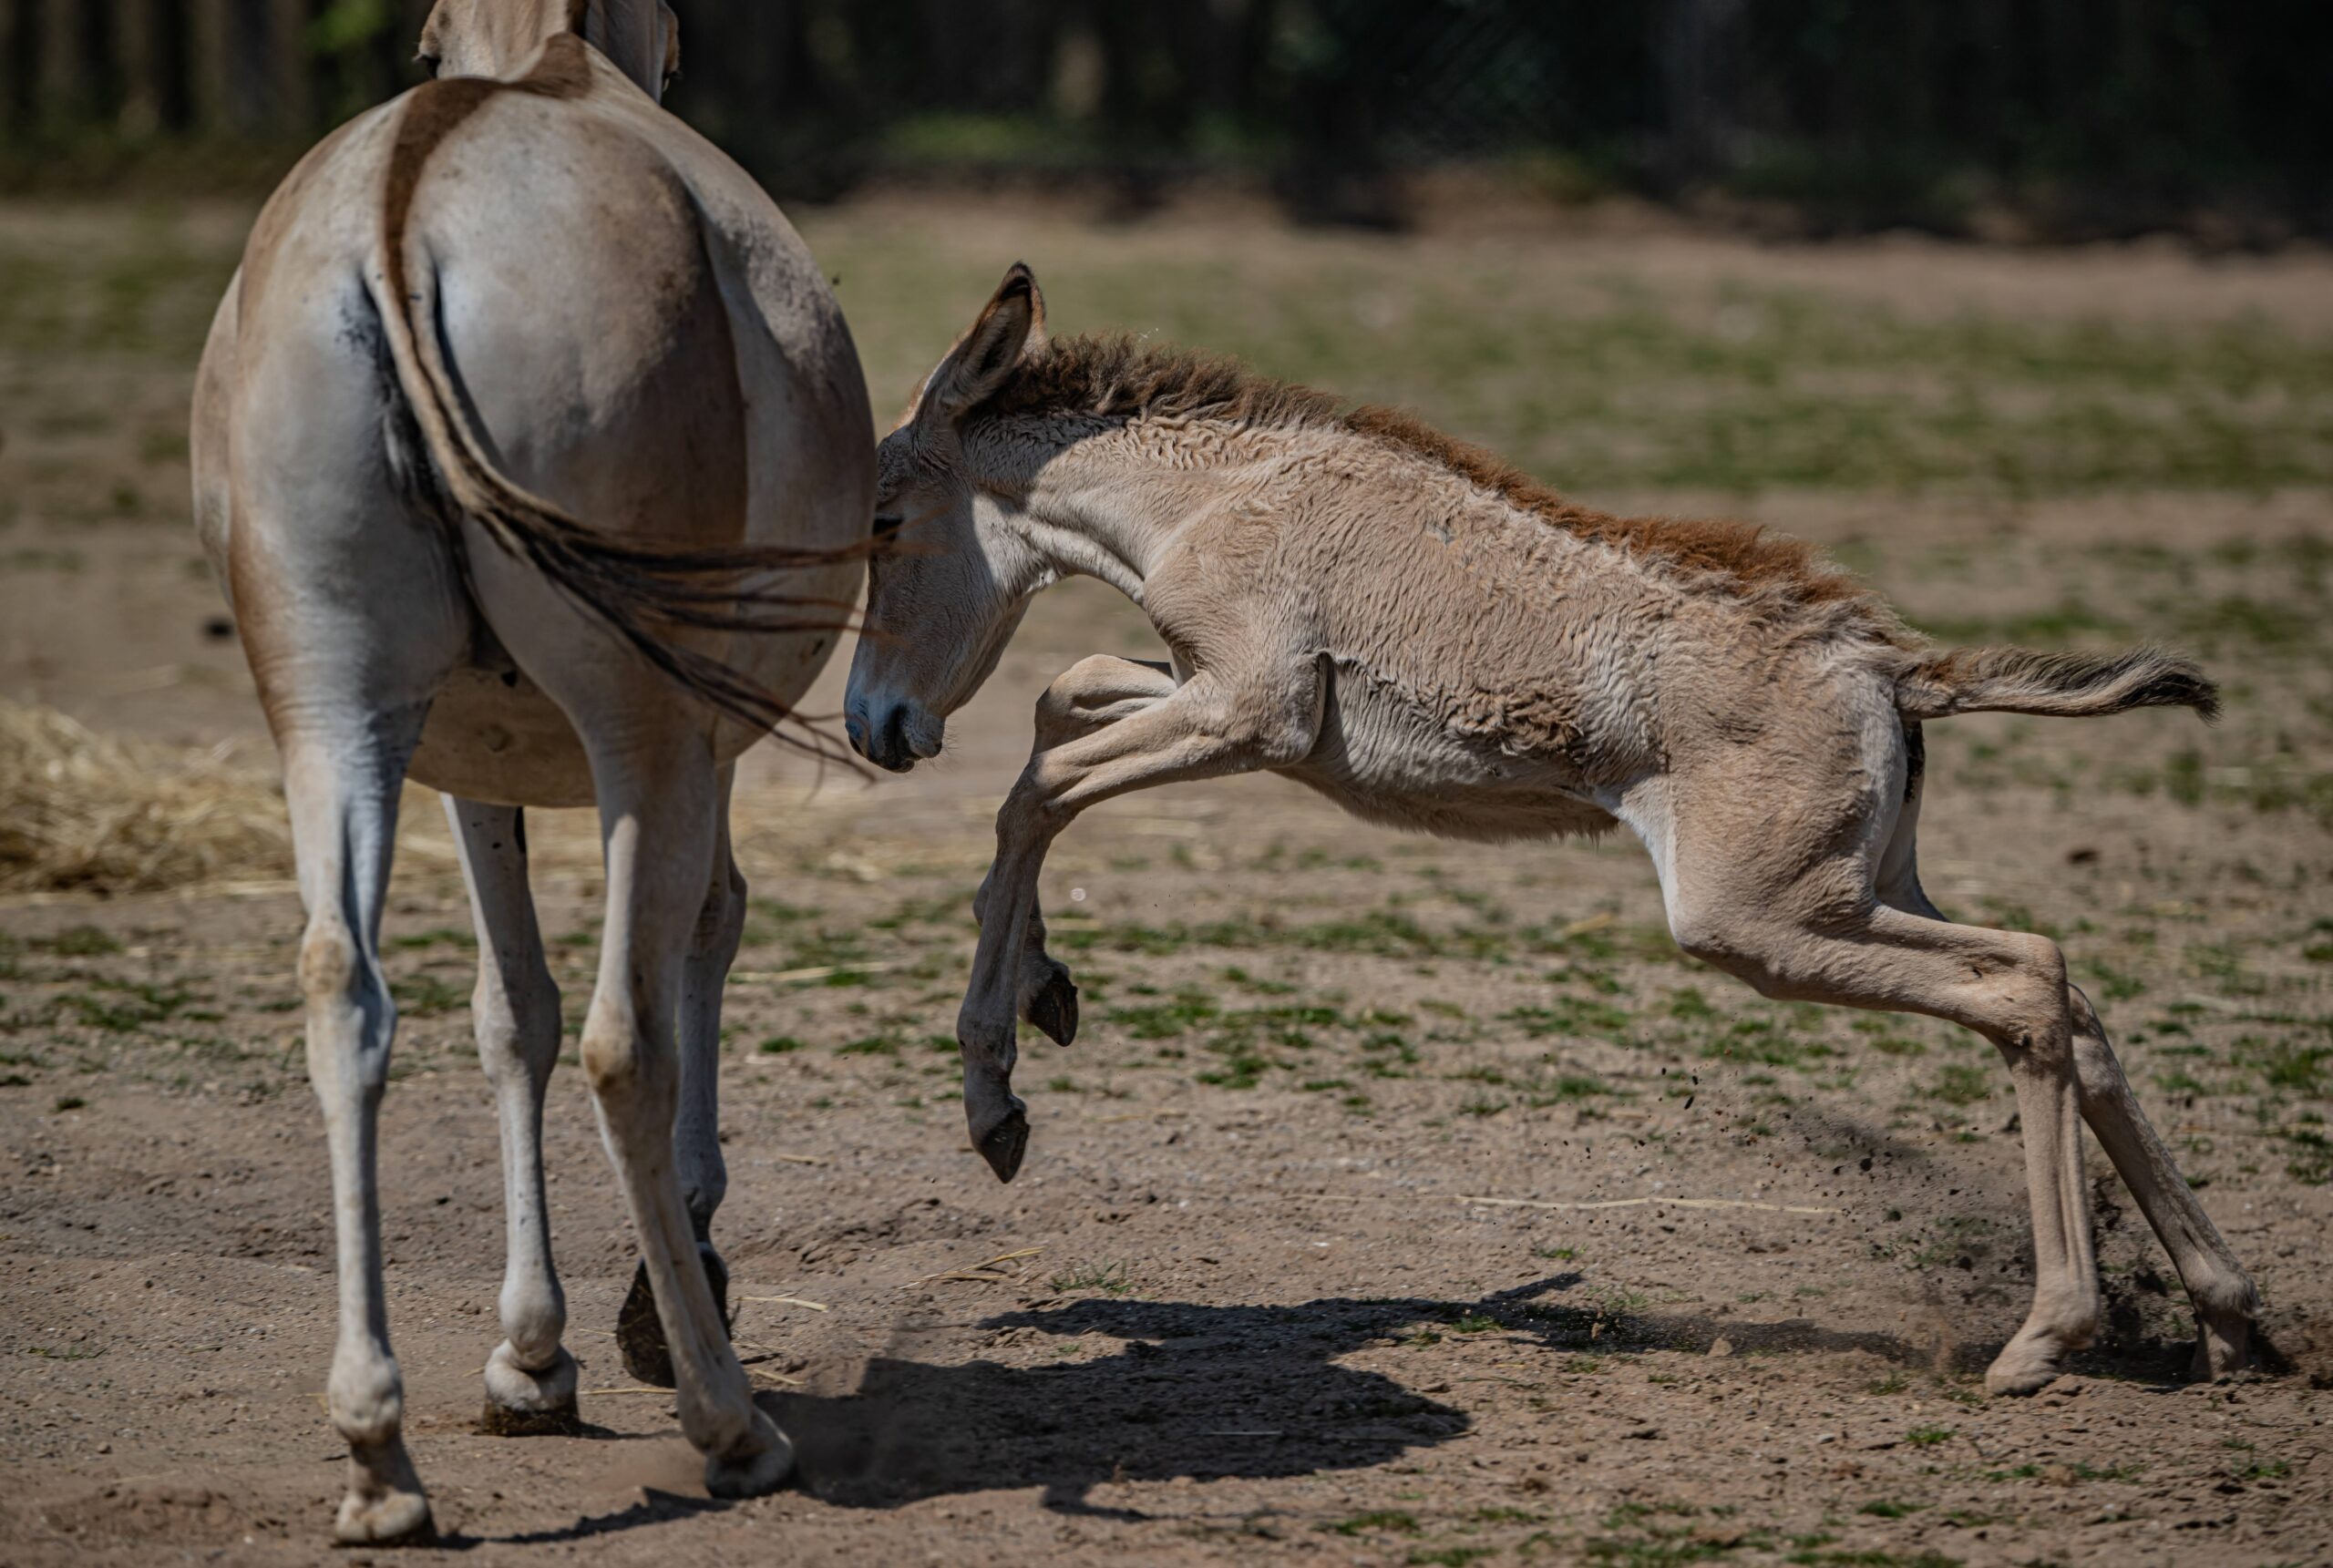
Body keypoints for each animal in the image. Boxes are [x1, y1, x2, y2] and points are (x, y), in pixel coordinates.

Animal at [193, 0, 877, 1540]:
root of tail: (401, 220)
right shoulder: (696, 749)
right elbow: (699, 944)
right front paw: (655, 1307)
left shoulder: (470, 771)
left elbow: (511, 1014)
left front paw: (530, 1356)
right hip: (640, 737)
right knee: (632, 1036)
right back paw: (729, 1423)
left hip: (338, 716)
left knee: (347, 994)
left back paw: (379, 1455)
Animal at [853, 265, 2258, 1399]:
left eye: (881, 521)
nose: (876, 725)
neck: (1223, 498)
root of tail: (1894, 667)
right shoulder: (1205, 697)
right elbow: (1061, 699)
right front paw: (1049, 992)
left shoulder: (1247, 714)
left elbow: (1035, 788)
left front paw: (996, 1102)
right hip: (1856, 892)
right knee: (2065, 991)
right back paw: (2232, 1321)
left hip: (1757, 920)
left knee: (2021, 984)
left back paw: (2045, 1340)